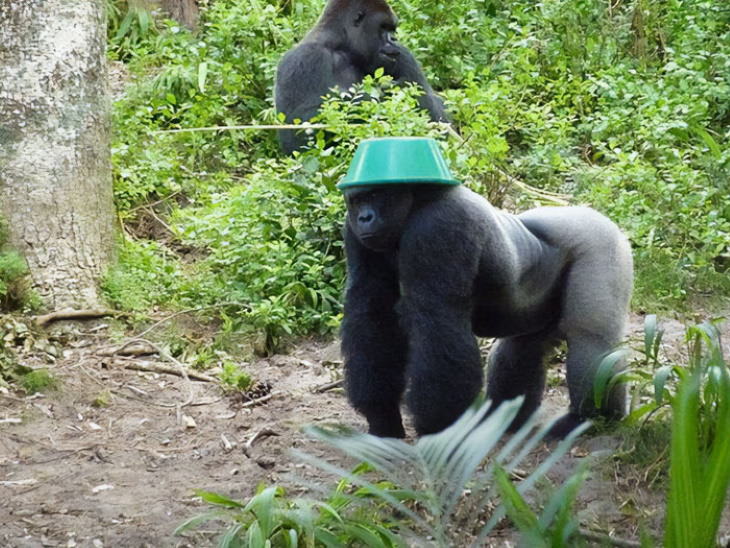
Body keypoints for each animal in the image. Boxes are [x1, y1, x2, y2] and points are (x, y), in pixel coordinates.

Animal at [272, 0, 444, 154]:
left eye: (392, 29)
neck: (342, 47)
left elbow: (439, 120)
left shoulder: (404, 56)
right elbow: (298, 131)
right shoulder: (305, 58)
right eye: (383, 27)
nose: (394, 39)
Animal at [338, 139, 628, 438]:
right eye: (357, 200)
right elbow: (372, 312)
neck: (418, 200)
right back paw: (505, 417)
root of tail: (590, 212)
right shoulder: (354, 233)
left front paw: (440, 427)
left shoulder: (439, 224)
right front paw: (382, 416)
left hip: (599, 240)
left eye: (377, 195)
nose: (364, 217)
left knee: (590, 338)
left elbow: (437, 320)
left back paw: (593, 418)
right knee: (522, 347)